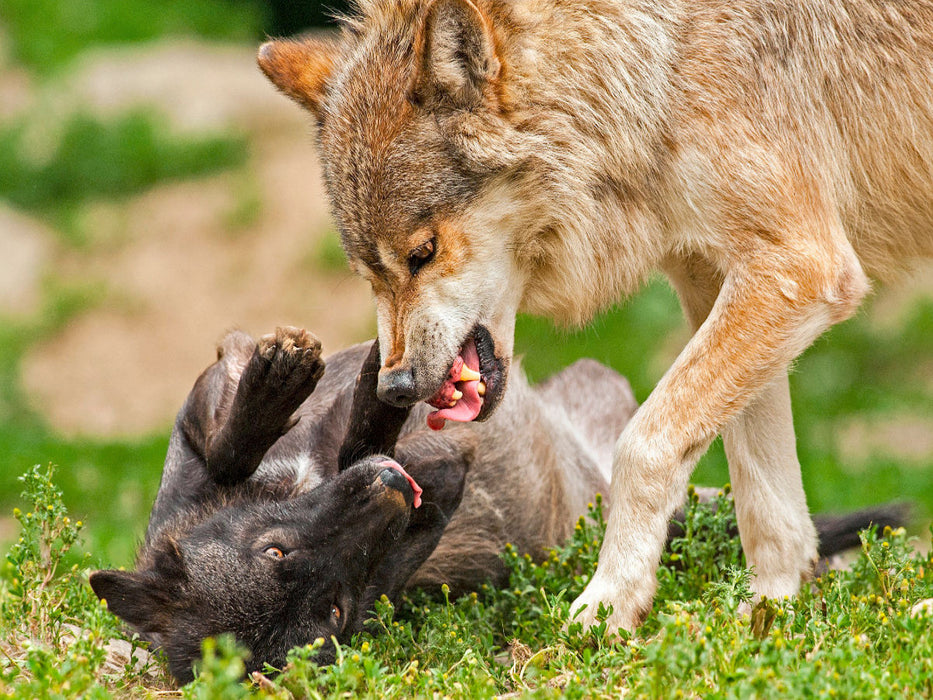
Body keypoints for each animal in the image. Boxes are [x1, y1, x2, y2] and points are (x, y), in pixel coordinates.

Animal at [91, 327, 906, 681]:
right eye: (333, 615)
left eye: (275, 549)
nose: (398, 489)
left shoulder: (210, 414)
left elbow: (238, 440)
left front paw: (284, 385)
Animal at [256, 0, 933, 631]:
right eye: (368, 275)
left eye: (423, 254)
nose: (394, 387)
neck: (656, 73)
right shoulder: (719, 278)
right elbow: (762, 491)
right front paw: (769, 614)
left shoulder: (799, 267)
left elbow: (644, 447)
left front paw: (609, 605)